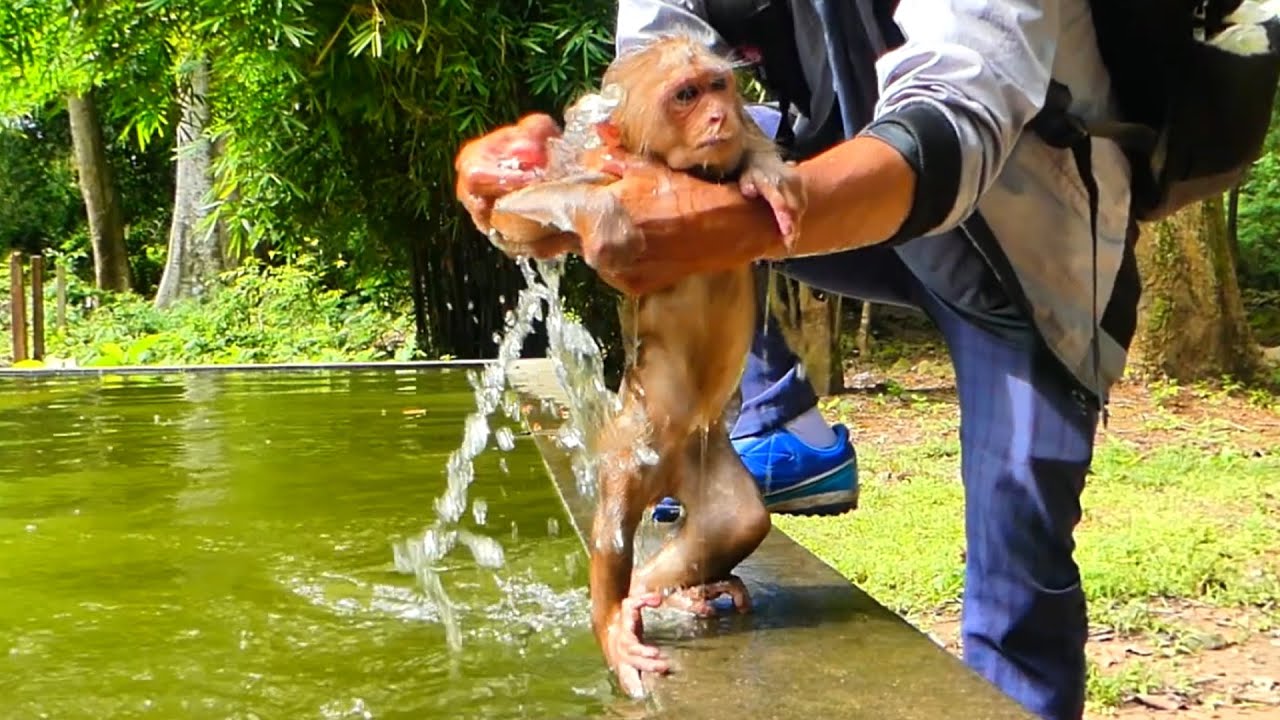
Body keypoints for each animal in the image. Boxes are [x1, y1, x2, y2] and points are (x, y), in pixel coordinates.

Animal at [484, 33, 805, 699]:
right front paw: (603, 216)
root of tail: (674, 457)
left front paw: (764, 168)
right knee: (612, 528)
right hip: (634, 437)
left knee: (736, 522)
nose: (719, 116)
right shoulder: (601, 172)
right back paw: (615, 621)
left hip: (703, 453)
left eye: (718, 86)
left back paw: (662, 593)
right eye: (685, 95)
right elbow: (516, 218)